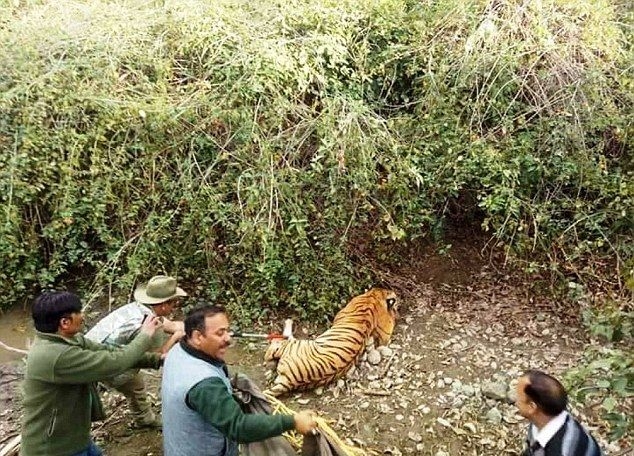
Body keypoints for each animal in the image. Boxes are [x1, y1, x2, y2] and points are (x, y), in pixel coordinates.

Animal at [262, 288, 396, 396]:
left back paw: (283, 327)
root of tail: (289, 382)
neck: (374, 296)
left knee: (279, 345)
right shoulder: (384, 330)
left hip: (296, 345)